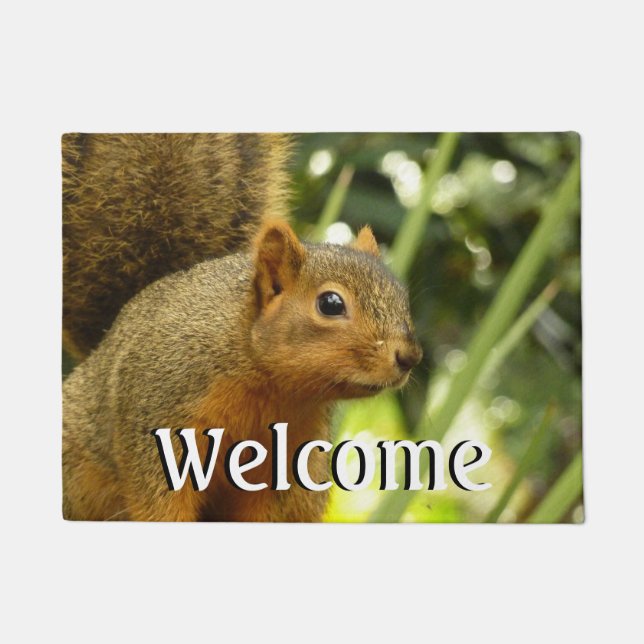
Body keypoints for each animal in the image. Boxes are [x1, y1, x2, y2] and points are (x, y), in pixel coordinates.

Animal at [62, 133, 423, 522]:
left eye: (402, 296)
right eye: (330, 304)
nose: (409, 357)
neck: (268, 383)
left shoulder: (290, 459)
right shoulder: (161, 415)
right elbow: (160, 500)